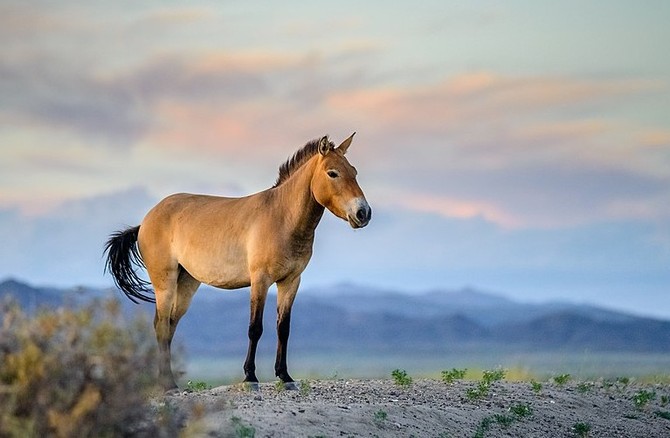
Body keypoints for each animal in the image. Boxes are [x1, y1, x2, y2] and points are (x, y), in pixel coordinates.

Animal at [103, 133, 372, 390]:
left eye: (354, 172)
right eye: (332, 173)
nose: (363, 213)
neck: (282, 217)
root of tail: (146, 220)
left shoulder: (291, 281)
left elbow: (283, 328)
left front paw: (285, 377)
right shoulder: (260, 280)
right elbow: (255, 328)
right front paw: (250, 377)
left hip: (187, 283)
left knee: (169, 326)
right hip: (165, 282)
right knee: (160, 325)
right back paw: (167, 385)